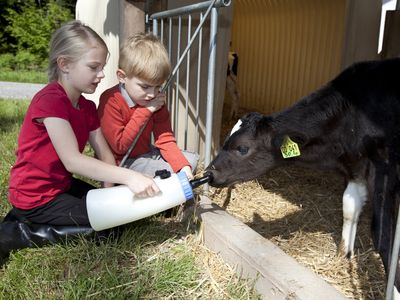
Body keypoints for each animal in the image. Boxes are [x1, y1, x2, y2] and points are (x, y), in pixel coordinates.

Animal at [206, 58, 400, 298]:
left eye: (242, 148)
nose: (209, 173)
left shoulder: (384, 168)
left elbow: (383, 235)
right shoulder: (355, 166)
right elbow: (349, 209)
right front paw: (344, 254)